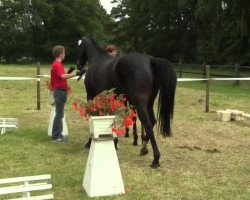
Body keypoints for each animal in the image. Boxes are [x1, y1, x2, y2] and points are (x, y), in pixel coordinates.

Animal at [77, 35, 177, 167]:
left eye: (79, 46)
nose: (78, 65)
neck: (96, 59)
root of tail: (150, 60)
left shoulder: (91, 95)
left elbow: (93, 117)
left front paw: (89, 142)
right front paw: (115, 141)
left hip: (140, 104)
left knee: (147, 123)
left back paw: (155, 158)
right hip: (149, 103)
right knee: (152, 121)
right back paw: (143, 148)